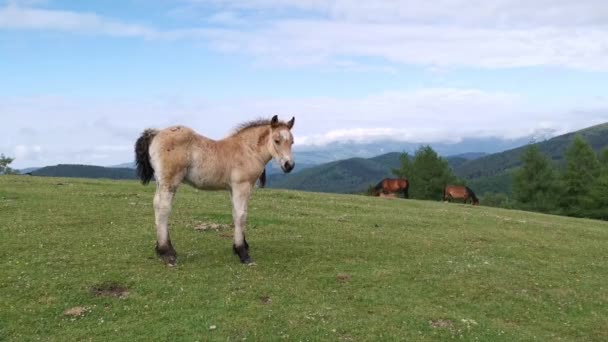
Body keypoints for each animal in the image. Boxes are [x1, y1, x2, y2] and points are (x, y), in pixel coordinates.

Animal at [134, 115, 296, 264]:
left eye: (292, 141)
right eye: (276, 140)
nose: (289, 165)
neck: (247, 150)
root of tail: (156, 133)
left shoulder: (234, 189)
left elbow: (236, 213)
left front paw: (241, 246)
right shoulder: (241, 186)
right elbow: (241, 215)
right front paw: (242, 253)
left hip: (160, 182)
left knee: (156, 205)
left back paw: (160, 249)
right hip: (170, 181)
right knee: (163, 209)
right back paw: (167, 252)